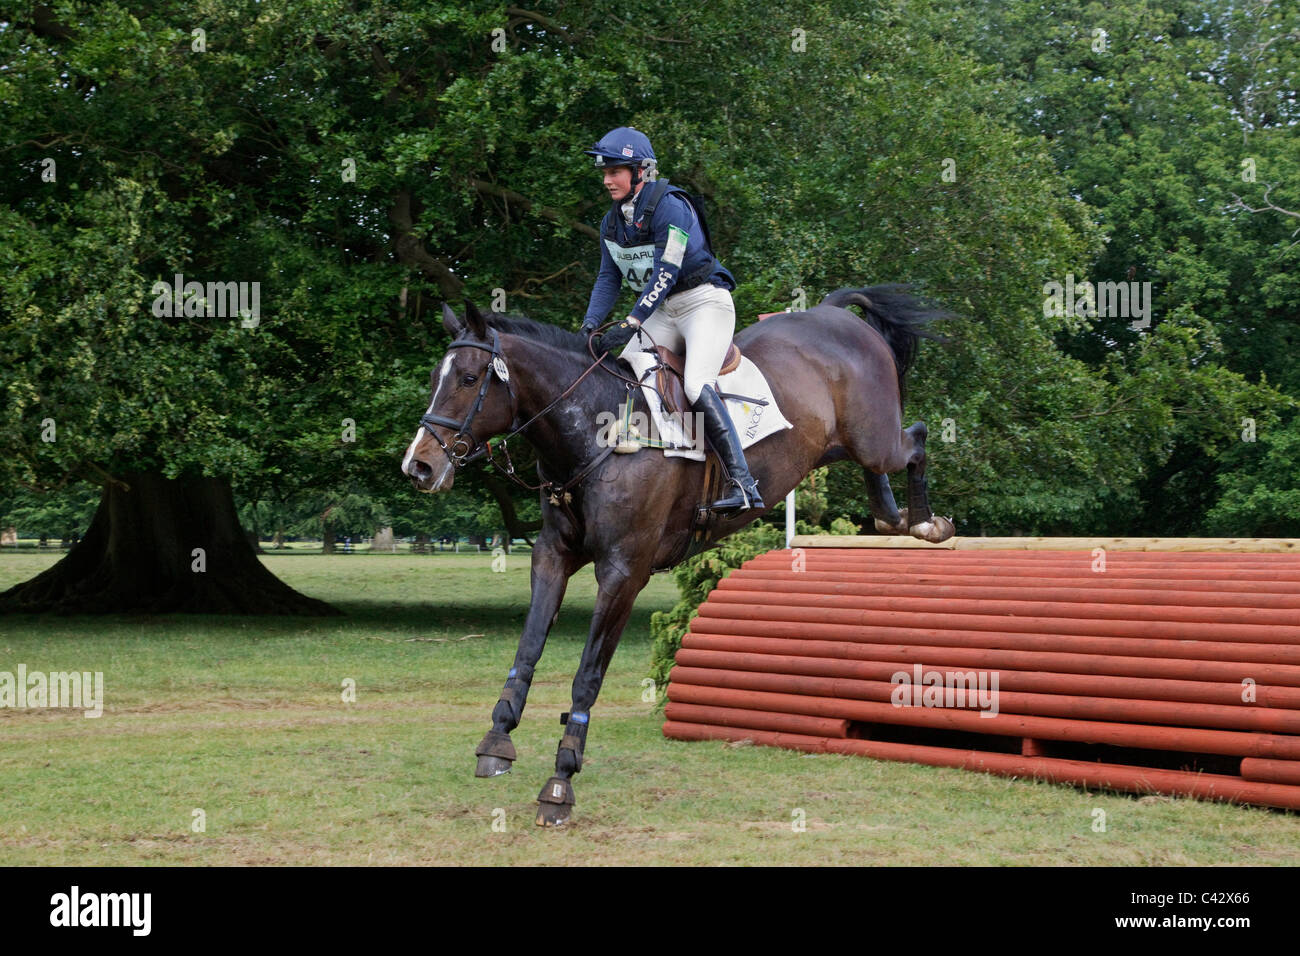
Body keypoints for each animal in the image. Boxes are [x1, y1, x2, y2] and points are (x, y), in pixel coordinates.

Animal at [401, 285, 955, 826]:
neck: (596, 430)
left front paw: (561, 781)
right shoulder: (552, 556)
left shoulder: (624, 572)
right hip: (837, 446)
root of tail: (833, 314)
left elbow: (587, 677)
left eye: (469, 378)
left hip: (874, 437)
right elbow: (527, 651)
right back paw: (898, 520)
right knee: (882, 487)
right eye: (433, 378)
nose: (418, 466)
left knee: (917, 439)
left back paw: (929, 523)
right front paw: (497, 739)